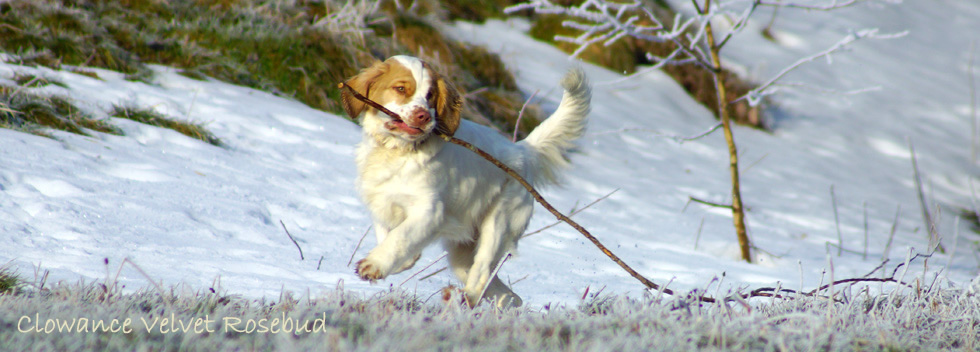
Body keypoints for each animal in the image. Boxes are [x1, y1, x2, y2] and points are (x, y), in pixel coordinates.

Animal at [344, 55, 588, 306]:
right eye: (401, 88)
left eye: (430, 95)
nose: (424, 116)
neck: (398, 152)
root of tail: (523, 150)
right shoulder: (381, 203)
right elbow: (390, 237)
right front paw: (401, 261)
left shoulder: (429, 211)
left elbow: (399, 237)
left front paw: (373, 265)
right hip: (463, 253)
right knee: (505, 293)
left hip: (498, 225)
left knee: (481, 274)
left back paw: (461, 298)